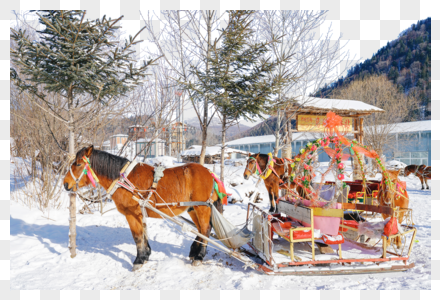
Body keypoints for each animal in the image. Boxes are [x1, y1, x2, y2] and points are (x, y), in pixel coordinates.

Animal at [63, 146, 222, 270]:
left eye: (78, 164)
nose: (65, 184)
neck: (124, 181)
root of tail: (209, 172)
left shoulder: (132, 214)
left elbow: (138, 237)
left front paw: (139, 260)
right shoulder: (140, 214)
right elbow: (144, 235)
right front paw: (146, 255)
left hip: (201, 208)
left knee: (205, 229)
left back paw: (199, 257)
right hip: (193, 209)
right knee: (201, 230)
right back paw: (194, 252)